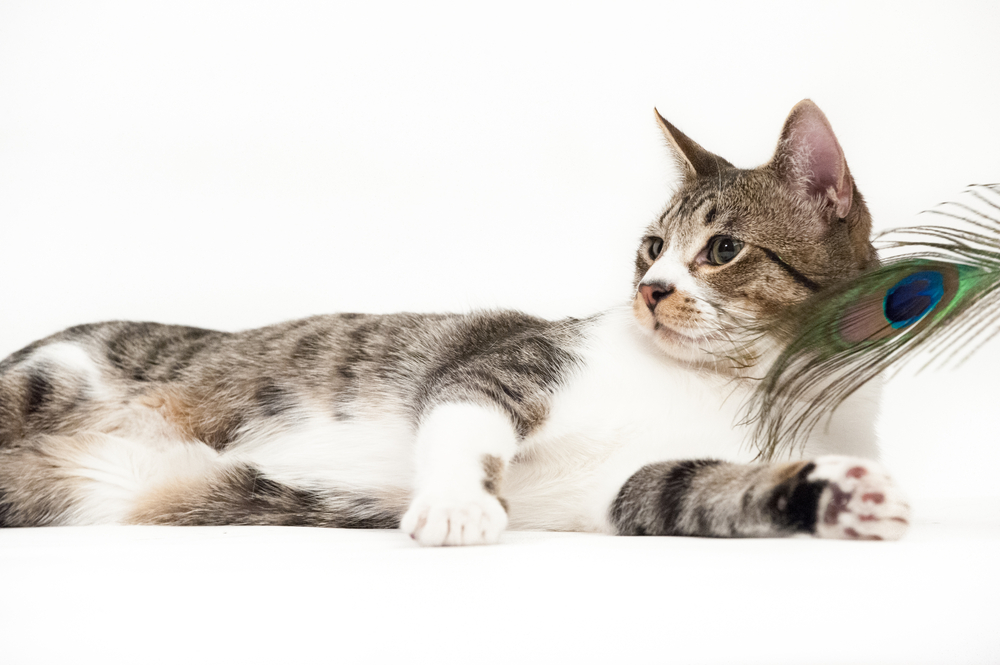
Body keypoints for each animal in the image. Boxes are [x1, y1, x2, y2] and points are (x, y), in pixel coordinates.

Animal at [0, 100, 912, 544]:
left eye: (721, 248)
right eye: (653, 246)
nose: (651, 289)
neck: (736, 383)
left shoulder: (628, 490)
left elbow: (694, 488)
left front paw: (834, 497)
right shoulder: (505, 362)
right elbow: (465, 419)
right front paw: (454, 505)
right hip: (52, 378)